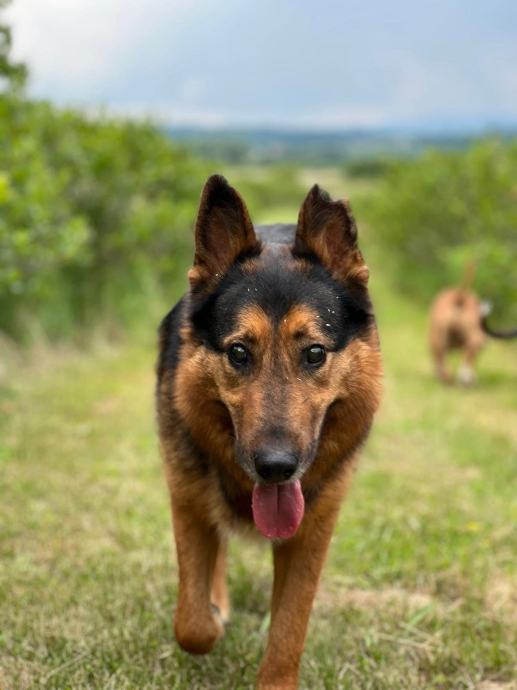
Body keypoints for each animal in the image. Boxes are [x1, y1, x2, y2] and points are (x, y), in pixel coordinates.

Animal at [155, 175, 380, 684]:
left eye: (314, 353)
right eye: (239, 353)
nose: (276, 467)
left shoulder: (312, 534)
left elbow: (289, 629)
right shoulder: (186, 502)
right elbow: (191, 622)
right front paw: (211, 616)